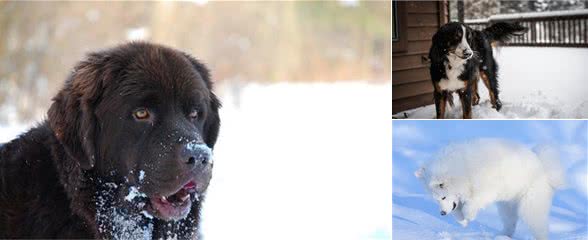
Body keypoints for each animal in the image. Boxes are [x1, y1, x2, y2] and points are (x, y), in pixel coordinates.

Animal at [416, 139, 564, 240]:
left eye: (443, 197)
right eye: (436, 200)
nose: (441, 213)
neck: (463, 171)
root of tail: (542, 165)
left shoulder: (485, 190)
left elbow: (469, 205)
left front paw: (469, 216)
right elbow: (457, 211)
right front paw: (463, 221)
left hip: (529, 206)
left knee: (540, 227)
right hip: (507, 206)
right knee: (510, 223)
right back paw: (503, 236)